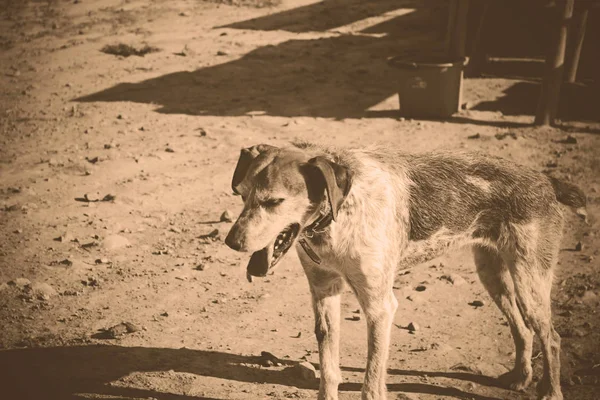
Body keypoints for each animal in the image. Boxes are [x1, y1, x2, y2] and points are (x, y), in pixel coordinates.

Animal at [225, 142, 584, 400]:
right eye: (241, 195)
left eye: (274, 202)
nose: (231, 242)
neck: (339, 215)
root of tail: (546, 181)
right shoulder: (324, 293)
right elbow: (329, 371)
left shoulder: (379, 306)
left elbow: (372, 383)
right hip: (492, 274)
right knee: (522, 329)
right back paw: (521, 378)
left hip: (529, 279)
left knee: (551, 337)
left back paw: (550, 393)